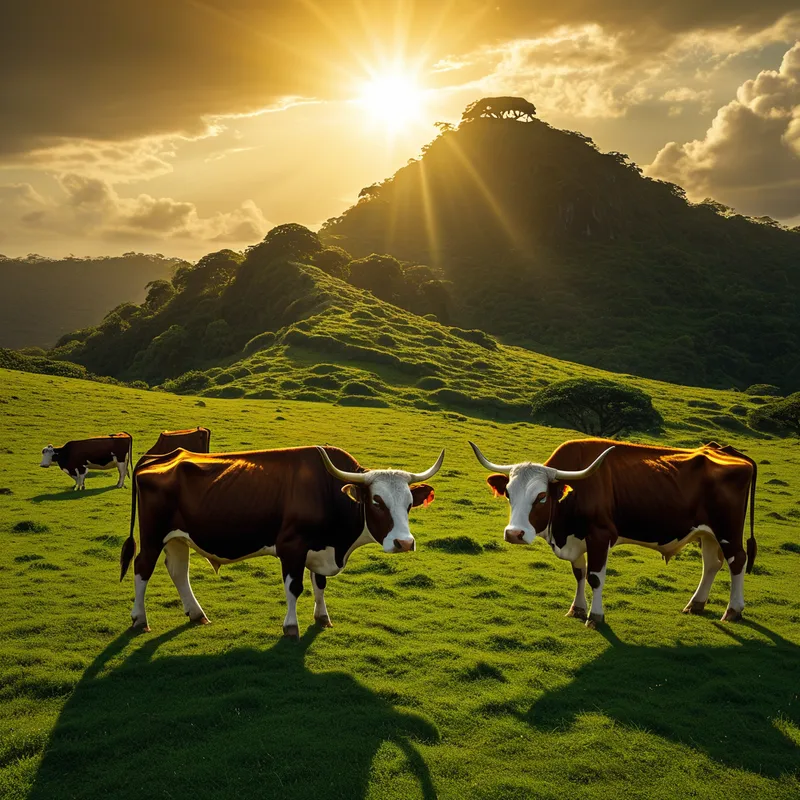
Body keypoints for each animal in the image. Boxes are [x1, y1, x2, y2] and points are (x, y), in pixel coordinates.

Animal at [119, 445, 444, 637]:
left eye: (409, 504)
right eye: (377, 502)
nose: (404, 543)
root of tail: (160, 457)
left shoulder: (319, 548)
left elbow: (319, 585)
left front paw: (322, 617)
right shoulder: (292, 546)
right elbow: (295, 587)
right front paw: (291, 627)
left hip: (178, 537)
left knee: (178, 571)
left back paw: (197, 614)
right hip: (153, 536)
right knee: (142, 568)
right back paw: (140, 618)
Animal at [469, 438, 757, 628]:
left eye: (541, 497)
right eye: (508, 493)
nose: (514, 533)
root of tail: (730, 452)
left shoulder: (600, 535)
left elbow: (595, 577)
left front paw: (594, 616)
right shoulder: (576, 538)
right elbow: (579, 573)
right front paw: (577, 609)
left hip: (727, 530)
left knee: (737, 561)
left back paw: (733, 610)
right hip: (708, 533)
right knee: (712, 564)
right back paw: (695, 604)